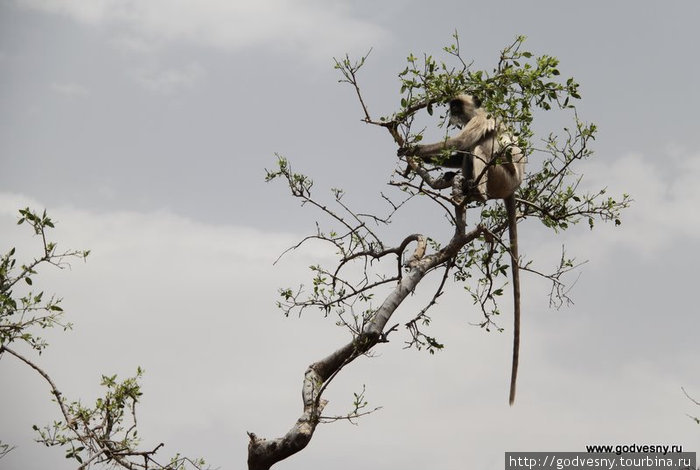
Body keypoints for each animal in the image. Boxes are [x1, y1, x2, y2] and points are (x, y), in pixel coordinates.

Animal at [400, 93, 524, 406]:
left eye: (457, 106)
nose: (452, 113)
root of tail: (513, 189)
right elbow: (459, 151)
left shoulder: (481, 118)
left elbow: (462, 141)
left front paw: (413, 149)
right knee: (470, 152)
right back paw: (461, 184)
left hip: (502, 175)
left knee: (482, 144)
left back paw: (476, 190)